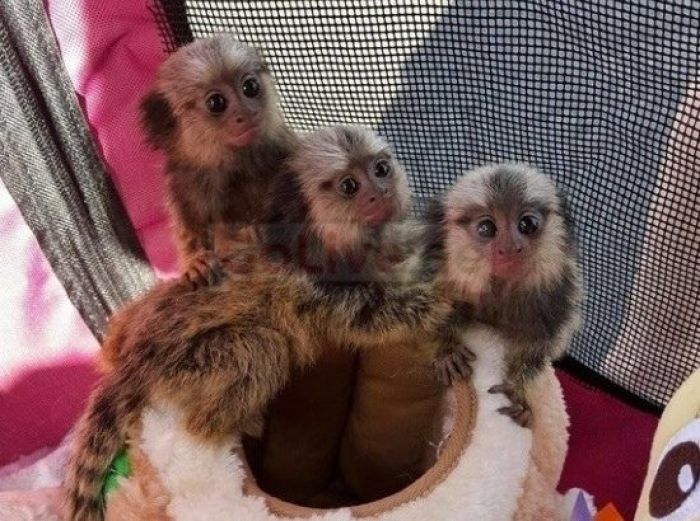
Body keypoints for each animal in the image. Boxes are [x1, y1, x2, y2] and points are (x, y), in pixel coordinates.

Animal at [64, 126, 454, 521]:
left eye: (380, 169)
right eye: (349, 186)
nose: (381, 192)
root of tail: (132, 362)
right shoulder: (313, 286)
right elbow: (373, 315)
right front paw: (446, 301)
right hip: (183, 364)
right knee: (260, 350)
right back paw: (234, 423)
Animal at [140, 34, 297, 287]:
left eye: (250, 87)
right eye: (216, 102)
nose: (247, 112)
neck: (235, 167)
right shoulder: (183, 186)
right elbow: (191, 230)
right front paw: (196, 261)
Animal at [425, 162, 582, 427]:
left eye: (527, 224)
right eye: (487, 228)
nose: (510, 248)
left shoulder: (555, 299)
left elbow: (535, 353)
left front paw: (518, 394)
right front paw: (446, 350)